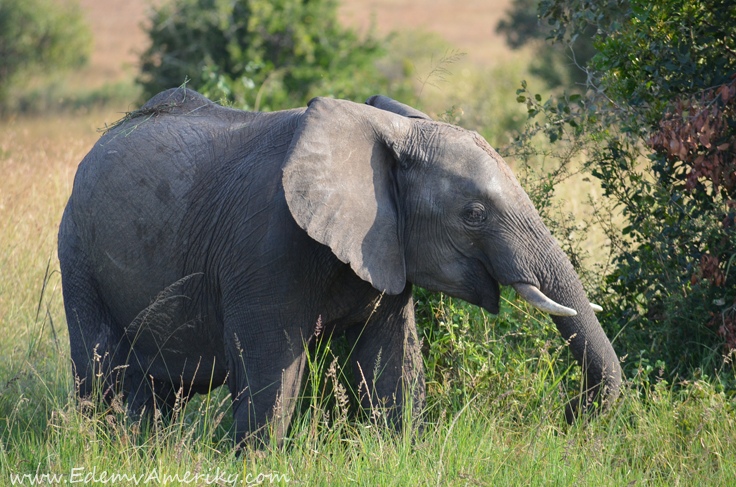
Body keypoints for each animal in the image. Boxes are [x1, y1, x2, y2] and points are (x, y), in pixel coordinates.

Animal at [59, 87, 620, 446]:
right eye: (474, 215)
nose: (571, 416)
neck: (391, 131)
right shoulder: (263, 248)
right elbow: (273, 381)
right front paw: (254, 463)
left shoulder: (386, 248)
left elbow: (393, 367)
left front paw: (397, 454)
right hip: (77, 254)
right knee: (101, 373)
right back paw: (98, 445)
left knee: (154, 391)